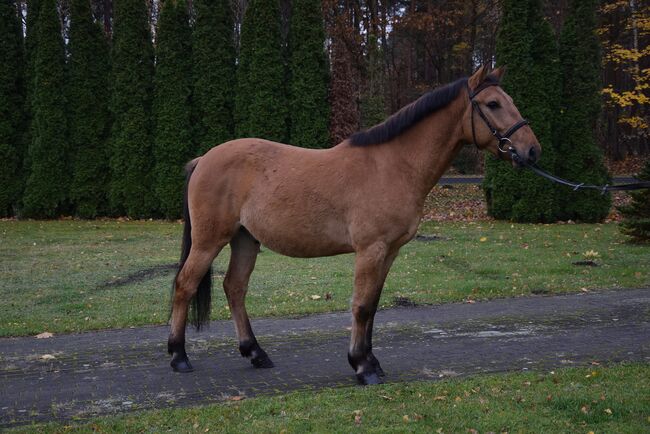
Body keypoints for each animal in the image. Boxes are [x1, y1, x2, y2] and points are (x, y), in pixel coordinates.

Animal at [167, 65, 541, 385]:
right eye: (493, 103)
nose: (532, 151)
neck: (393, 165)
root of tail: (204, 159)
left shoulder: (389, 252)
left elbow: (372, 306)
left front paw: (371, 361)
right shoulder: (370, 250)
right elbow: (361, 306)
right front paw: (363, 367)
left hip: (245, 239)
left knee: (235, 288)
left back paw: (256, 353)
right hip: (209, 240)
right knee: (185, 285)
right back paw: (178, 356)